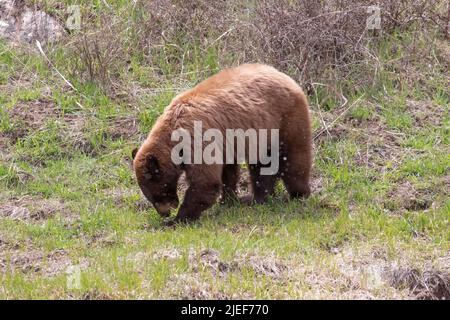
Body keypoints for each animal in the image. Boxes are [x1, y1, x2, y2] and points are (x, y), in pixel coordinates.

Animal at [132, 63, 312, 224]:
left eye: (156, 193)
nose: (164, 213)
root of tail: (287, 77)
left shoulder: (197, 140)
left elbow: (205, 182)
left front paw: (178, 219)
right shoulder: (223, 144)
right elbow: (228, 172)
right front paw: (228, 200)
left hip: (287, 120)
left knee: (294, 159)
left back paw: (299, 194)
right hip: (263, 132)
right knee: (262, 165)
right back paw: (259, 197)